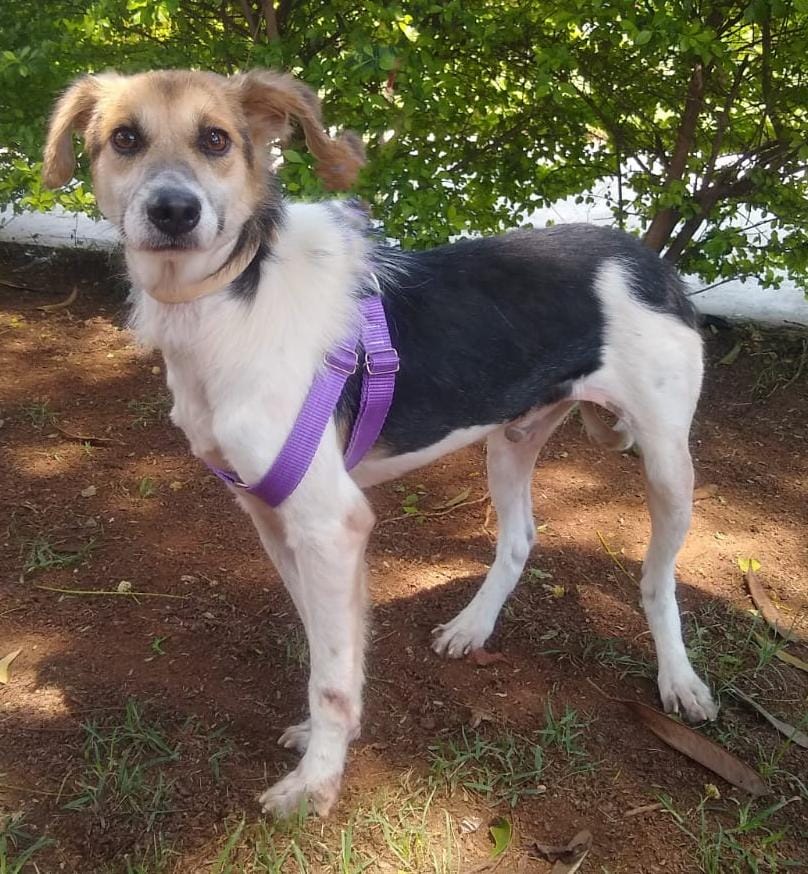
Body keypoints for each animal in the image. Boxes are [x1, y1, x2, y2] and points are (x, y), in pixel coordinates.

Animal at [41, 68, 716, 816]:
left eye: (215, 139)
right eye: (124, 139)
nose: (172, 212)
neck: (230, 299)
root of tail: (646, 258)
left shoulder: (330, 523)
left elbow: (330, 674)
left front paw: (316, 782)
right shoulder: (273, 517)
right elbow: (327, 644)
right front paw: (325, 742)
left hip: (667, 463)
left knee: (657, 578)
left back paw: (679, 679)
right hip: (512, 438)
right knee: (519, 537)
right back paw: (472, 628)